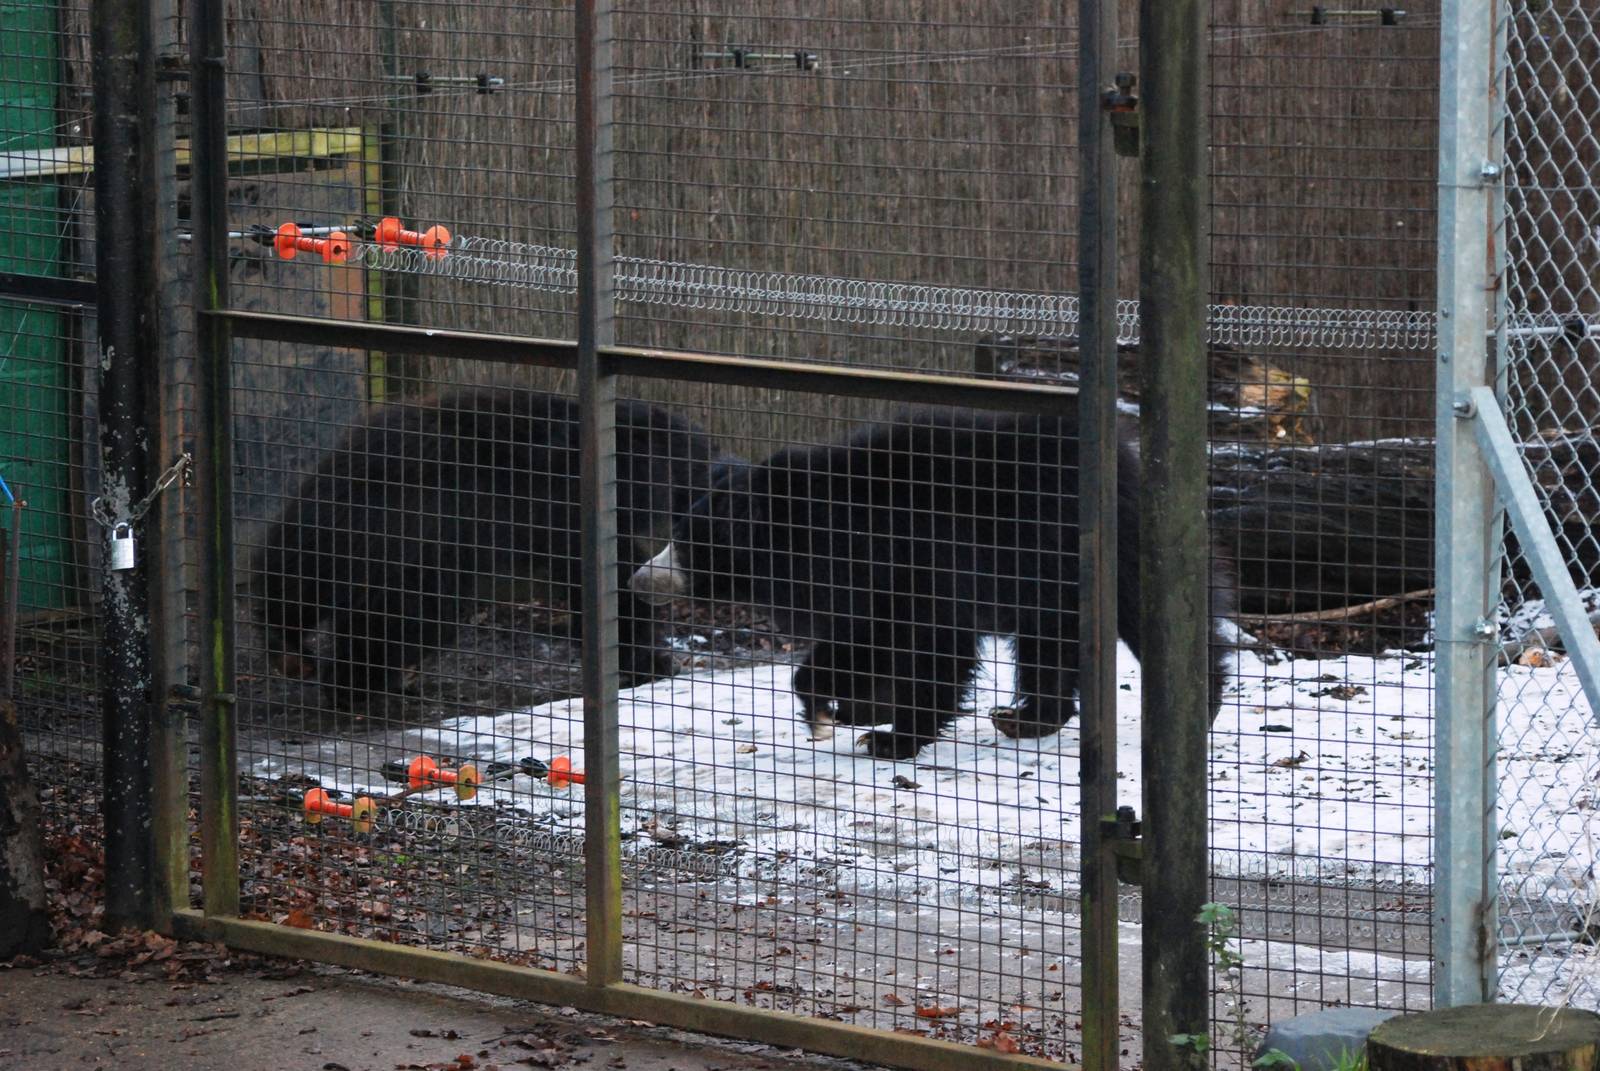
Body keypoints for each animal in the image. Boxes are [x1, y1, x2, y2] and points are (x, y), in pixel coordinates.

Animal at [629, 406, 1234, 760]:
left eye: (690, 544)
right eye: (677, 533)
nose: (640, 579)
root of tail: (1128, 455)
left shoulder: (922, 564)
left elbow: (935, 649)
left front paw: (886, 737)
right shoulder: (869, 584)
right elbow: (860, 640)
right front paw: (846, 710)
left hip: (1099, 546)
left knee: (1150, 616)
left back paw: (1195, 708)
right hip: (1054, 580)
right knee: (1048, 645)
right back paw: (1026, 719)